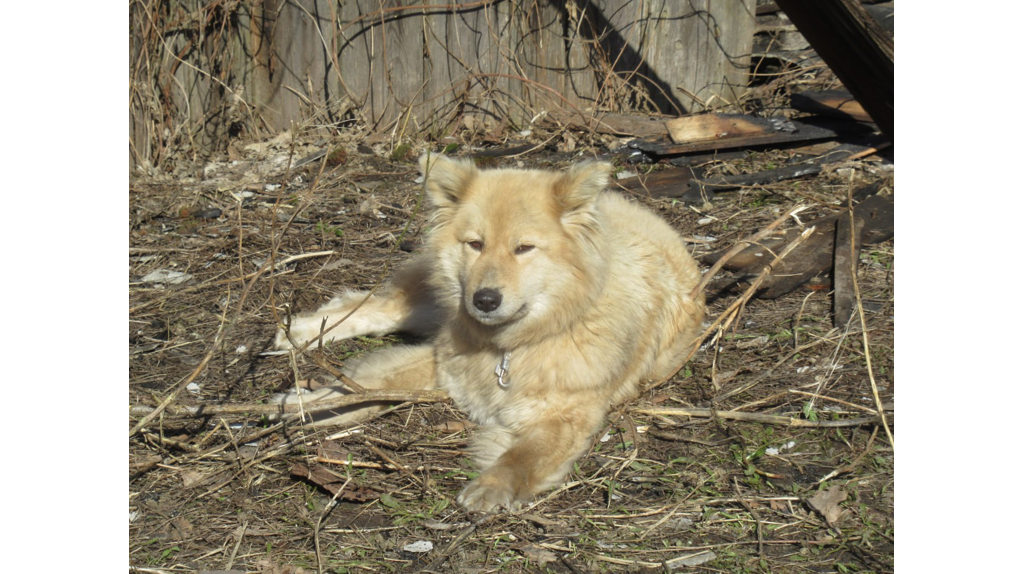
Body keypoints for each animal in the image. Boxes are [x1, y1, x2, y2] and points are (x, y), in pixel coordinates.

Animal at [272, 153, 704, 509]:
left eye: (524, 248)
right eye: (475, 244)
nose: (484, 300)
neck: (512, 346)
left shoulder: (565, 418)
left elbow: (521, 456)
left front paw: (490, 487)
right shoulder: (445, 359)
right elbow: (371, 384)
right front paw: (308, 403)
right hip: (433, 299)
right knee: (377, 308)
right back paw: (300, 331)